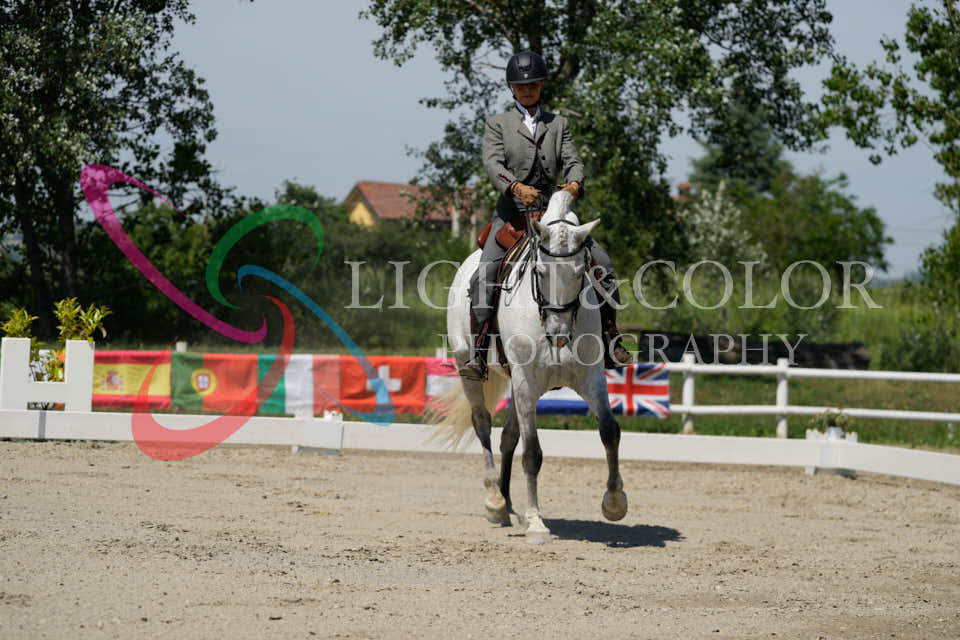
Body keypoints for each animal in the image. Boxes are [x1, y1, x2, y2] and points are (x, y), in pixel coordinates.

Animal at [432, 189, 628, 539]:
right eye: (541, 273)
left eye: (581, 273)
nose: (559, 333)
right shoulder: (526, 383)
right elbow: (533, 453)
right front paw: (536, 520)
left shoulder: (590, 378)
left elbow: (609, 430)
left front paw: (615, 502)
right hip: (471, 370)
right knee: (482, 424)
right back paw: (495, 501)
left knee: (509, 436)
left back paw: (508, 503)